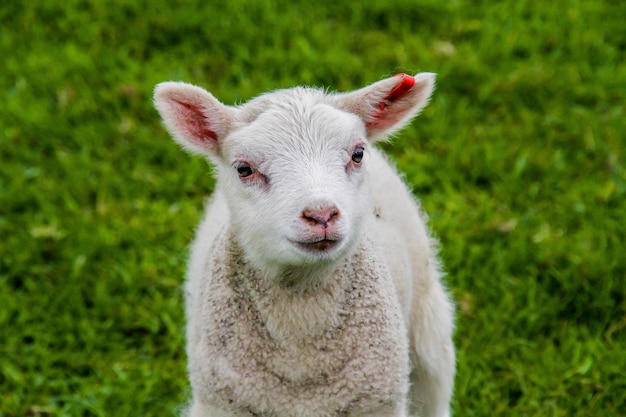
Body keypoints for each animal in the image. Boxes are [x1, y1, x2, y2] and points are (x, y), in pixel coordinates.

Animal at [151, 72, 454, 416]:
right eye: (244, 169)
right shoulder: (222, 403)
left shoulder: (377, 402)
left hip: (428, 329)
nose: (321, 214)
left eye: (357, 154)